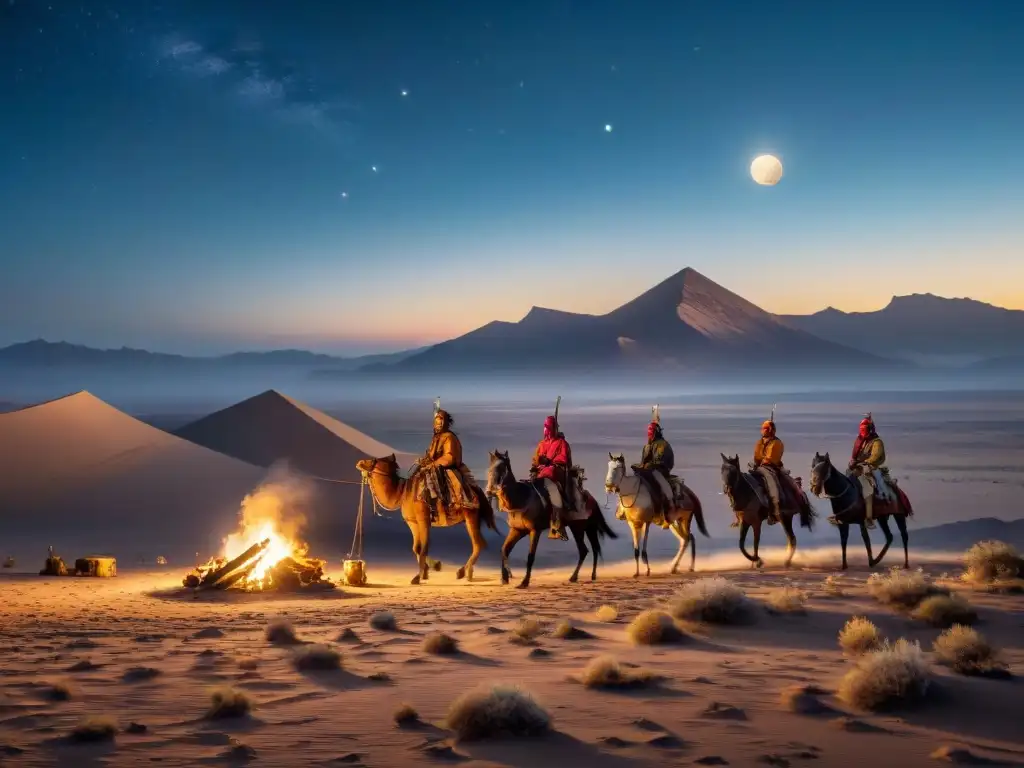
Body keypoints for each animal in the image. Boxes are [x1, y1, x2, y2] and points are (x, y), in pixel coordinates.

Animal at [354, 454, 497, 585]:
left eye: (373, 460)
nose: (359, 462)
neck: (403, 493)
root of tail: (477, 491)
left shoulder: (424, 519)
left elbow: (424, 547)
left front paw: (418, 576)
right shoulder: (412, 522)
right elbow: (416, 548)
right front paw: (429, 570)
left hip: (471, 515)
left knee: (477, 544)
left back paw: (464, 572)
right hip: (472, 519)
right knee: (481, 543)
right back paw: (466, 572)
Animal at [485, 450, 618, 589]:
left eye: (501, 467)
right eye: (490, 468)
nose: (489, 491)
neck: (522, 499)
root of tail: (591, 498)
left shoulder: (535, 530)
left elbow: (530, 556)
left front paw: (524, 582)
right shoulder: (517, 530)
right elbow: (504, 549)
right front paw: (504, 578)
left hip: (580, 527)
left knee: (586, 549)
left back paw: (578, 576)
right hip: (585, 528)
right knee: (591, 548)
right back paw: (586, 576)